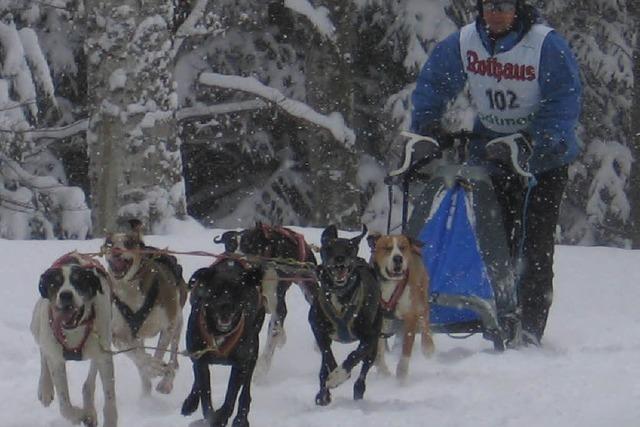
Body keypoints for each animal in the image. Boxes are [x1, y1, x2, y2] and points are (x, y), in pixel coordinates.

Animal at [31, 252, 117, 427]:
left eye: (79, 281)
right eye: (54, 283)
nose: (66, 295)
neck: (74, 330)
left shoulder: (104, 356)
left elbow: (110, 397)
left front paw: (107, 419)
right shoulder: (56, 359)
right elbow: (65, 406)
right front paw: (79, 415)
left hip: (102, 345)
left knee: (89, 382)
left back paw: (90, 409)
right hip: (37, 323)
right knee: (43, 351)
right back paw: (45, 388)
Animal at [102, 219, 188, 396]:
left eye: (128, 243)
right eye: (109, 243)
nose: (115, 250)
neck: (129, 290)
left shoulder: (168, 326)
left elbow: (160, 352)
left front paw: (157, 368)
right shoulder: (119, 336)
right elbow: (137, 355)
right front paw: (151, 367)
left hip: (178, 322)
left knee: (173, 354)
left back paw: (166, 382)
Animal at [181, 258, 266, 427]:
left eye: (237, 290)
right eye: (216, 290)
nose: (225, 307)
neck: (219, 332)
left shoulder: (240, 364)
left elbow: (231, 397)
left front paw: (220, 418)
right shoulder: (200, 359)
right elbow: (205, 394)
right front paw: (210, 416)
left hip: (253, 349)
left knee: (245, 390)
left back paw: (241, 418)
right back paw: (191, 401)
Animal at [308, 226, 382, 406]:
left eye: (349, 248)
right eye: (328, 248)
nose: (339, 258)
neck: (339, 293)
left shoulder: (369, 337)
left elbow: (354, 356)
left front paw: (339, 376)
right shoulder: (317, 328)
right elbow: (327, 355)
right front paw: (331, 375)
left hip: (375, 344)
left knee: (364, 369)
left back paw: (358, 390)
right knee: (323, 369)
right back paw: (323, 394)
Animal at [364, 234, 436, 382]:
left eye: (402, 247)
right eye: (387, 248)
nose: (398, 258)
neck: (391, 283)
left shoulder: (410, 315)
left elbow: (406, 348)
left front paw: (401, 373)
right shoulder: (378, 319)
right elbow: (378, 349)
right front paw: (382, 370)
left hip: (421, 299)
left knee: (425, 321)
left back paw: (428, 346)